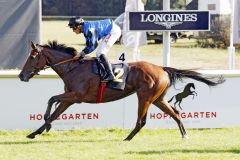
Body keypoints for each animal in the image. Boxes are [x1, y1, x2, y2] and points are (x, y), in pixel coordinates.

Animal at [18, 41, 225, 140]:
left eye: (32, 57)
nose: (21, 75)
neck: (73, 67)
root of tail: (161, 68)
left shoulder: (76, 96)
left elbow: (51, 99)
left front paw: (45, 124)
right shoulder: (70, 98)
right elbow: (55, 111)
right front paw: (36, 132)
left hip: (145, 97)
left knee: (141, 121)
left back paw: (127, 139)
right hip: (159, 99)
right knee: (175, 113)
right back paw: (184, 135)